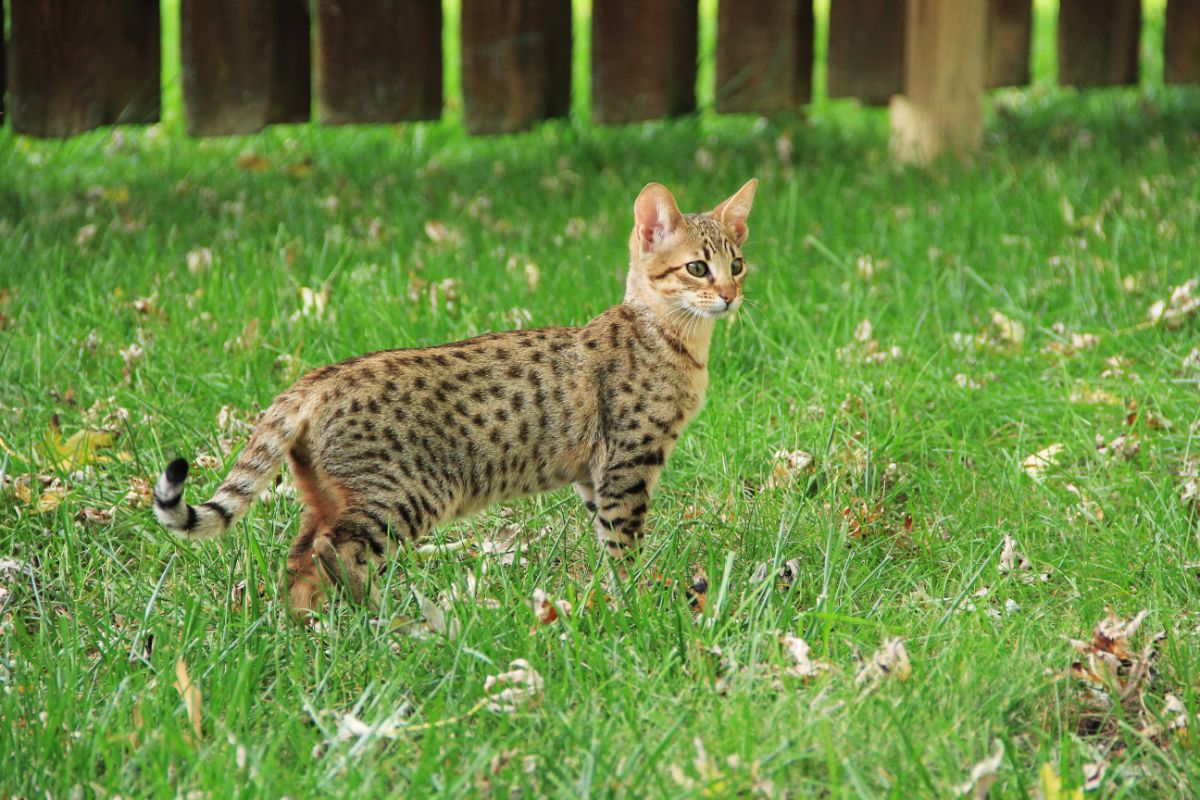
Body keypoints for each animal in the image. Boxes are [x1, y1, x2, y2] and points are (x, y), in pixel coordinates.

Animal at [154, 179, 753, 618]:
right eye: (697, 267)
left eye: (738, 264)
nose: (729, 295)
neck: (673, 339)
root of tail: (318, 377)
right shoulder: (627, 463)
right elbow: (624, 543)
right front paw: (638, 599)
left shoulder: (595, 474)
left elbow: (606, 535)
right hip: (402, 495)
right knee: (330, 551)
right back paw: (382, 618)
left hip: (332, 495)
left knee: (300, 557)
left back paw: (308, 624)